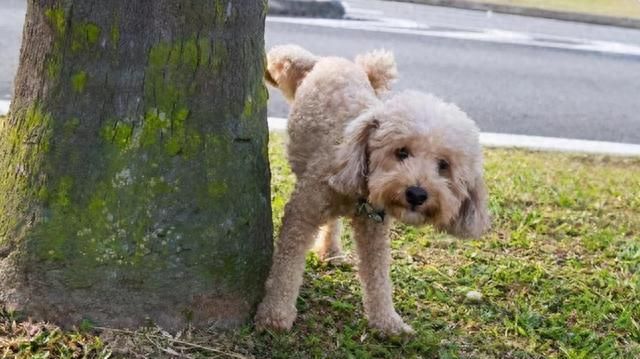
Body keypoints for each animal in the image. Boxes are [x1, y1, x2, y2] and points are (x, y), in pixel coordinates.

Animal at [255, 45, 490, 338]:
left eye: (443, 165)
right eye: (401, 152)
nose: (417, 194)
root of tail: (330, 60)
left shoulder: (374, 228)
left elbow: (378, 277)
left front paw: (387, 322)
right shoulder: (302, 212)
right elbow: (287, 266)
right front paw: (275, 313)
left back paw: (330, 251)